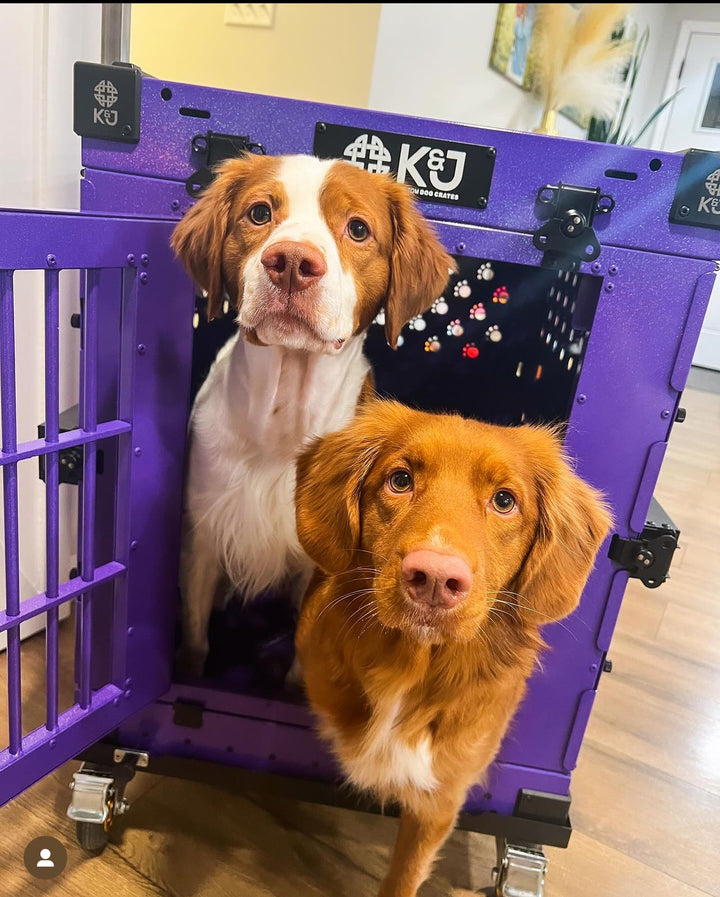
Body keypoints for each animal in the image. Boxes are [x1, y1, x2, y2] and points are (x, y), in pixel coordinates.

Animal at [171, 152, 452, 672]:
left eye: (358, 228)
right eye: (259, 213)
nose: (292, 263)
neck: (283, 421)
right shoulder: (203, 531)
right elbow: (196, 633)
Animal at [296, 400, 612, 896]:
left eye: (504, 501)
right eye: (400, 479)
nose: (435, 577)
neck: (413, 666)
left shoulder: (439, 800)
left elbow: (403, 878)